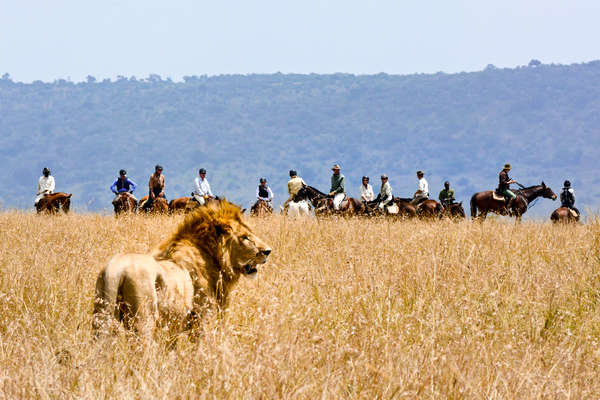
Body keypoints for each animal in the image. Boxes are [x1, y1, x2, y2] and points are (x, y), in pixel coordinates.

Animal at [92, 200, 272, 338]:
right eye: (245, 237)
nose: (268, 251)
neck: (213, 258)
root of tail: (116, 270)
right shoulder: (202, 318)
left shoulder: (174, 327)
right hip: (144, 320)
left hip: (101, 317)